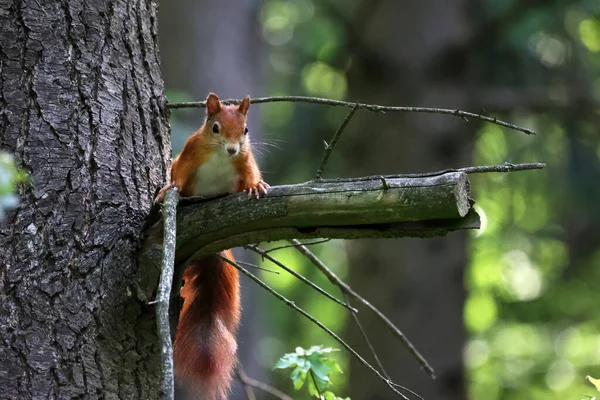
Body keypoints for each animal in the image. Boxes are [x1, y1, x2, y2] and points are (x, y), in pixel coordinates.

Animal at [156, 93, 268, 400]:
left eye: (245, 130)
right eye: (215, 128)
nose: (232, 149)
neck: (219, 156)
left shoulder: (246, 160)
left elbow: (251, 174)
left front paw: (256, 185)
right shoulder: (190, 153)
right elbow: (178, 174)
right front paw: (167, 188)